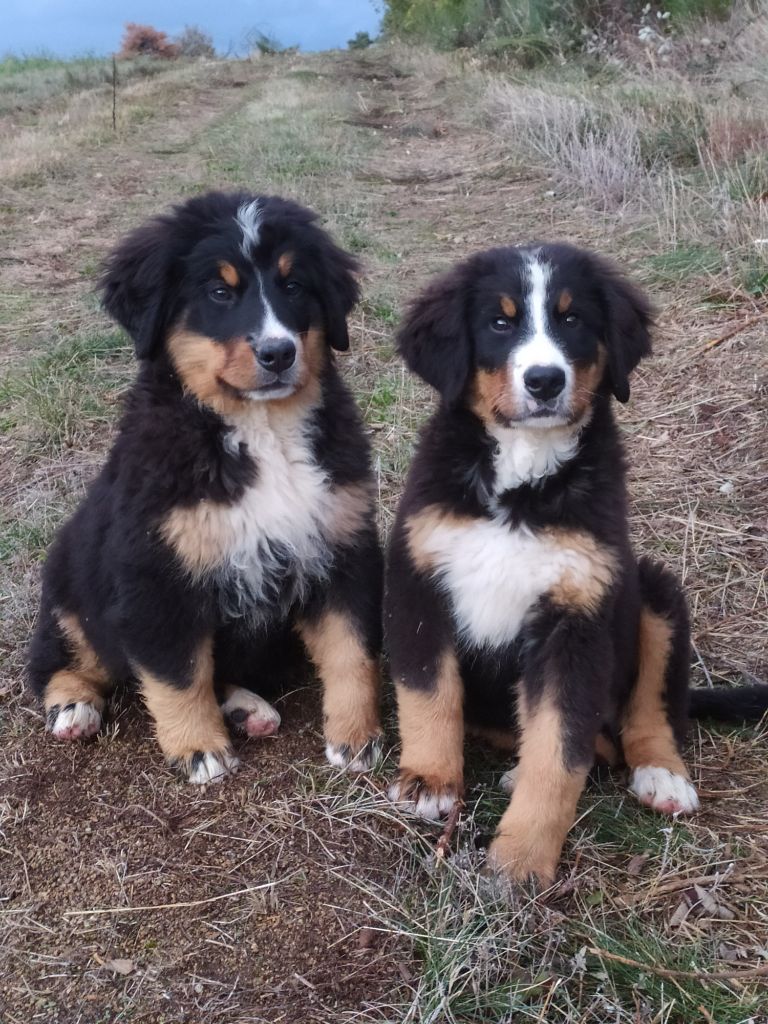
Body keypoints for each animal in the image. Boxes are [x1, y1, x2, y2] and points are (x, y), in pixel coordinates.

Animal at [26, 192, 382, 782]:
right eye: (219, 292)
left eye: (293, 286)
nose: (279, 353)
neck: (261, 430)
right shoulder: (157, 574)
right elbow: (178, 673)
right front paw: (199, 750)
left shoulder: (341, 545)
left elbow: (352, 652)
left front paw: (357, 738)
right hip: (71, 583)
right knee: (61, 655)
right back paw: (73, 706)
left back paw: (246, 708)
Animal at [387, 243, 741, 884]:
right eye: (499, 324)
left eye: (572, 319)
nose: (545, 379)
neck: (523, 480)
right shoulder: (419, 580)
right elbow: (429, 695)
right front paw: (429, 781)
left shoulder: (576, 619)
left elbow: (559, 749)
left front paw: (522, 858)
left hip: (654, 592)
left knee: (646, 713)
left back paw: (662, 775)